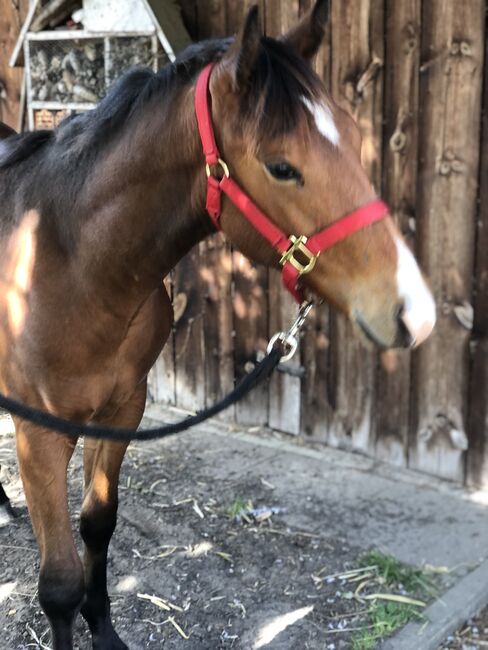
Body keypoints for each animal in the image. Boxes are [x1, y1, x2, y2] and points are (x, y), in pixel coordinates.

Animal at [0, 2, 434, 644]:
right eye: (281, 166)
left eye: (357, 136)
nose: (415, 313)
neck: (67, 261)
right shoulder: (40, 436)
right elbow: (58, 585)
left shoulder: (123, 409)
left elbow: (99, 525)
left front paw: (105, 630)